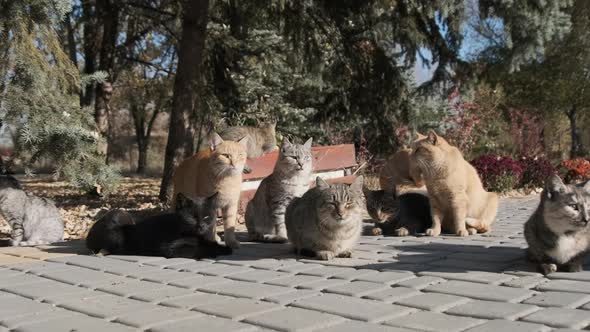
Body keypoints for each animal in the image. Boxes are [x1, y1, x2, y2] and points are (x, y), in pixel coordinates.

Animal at [86, 192, 234, 260]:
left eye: (206, 217)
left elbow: (209, 243)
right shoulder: (169, 248)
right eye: (192, 217)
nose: (201, 226)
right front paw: (212, 253)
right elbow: (197, 249)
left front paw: (224, 248)